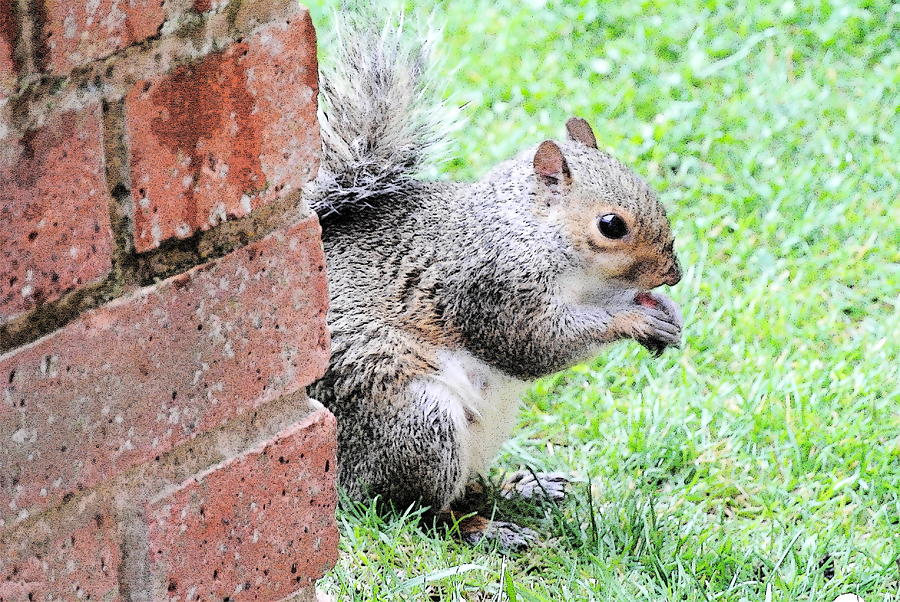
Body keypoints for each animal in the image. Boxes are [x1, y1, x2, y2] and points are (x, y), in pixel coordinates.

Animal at [306, 10, 684, 544]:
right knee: (415, 511)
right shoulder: (491, 286)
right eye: (611, 226)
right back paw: (484, 528)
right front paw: (632, 320)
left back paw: (523, 486)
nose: (673, 274)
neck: (530, 230)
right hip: (418, 425)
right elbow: (533, 344)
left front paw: (664, 313)